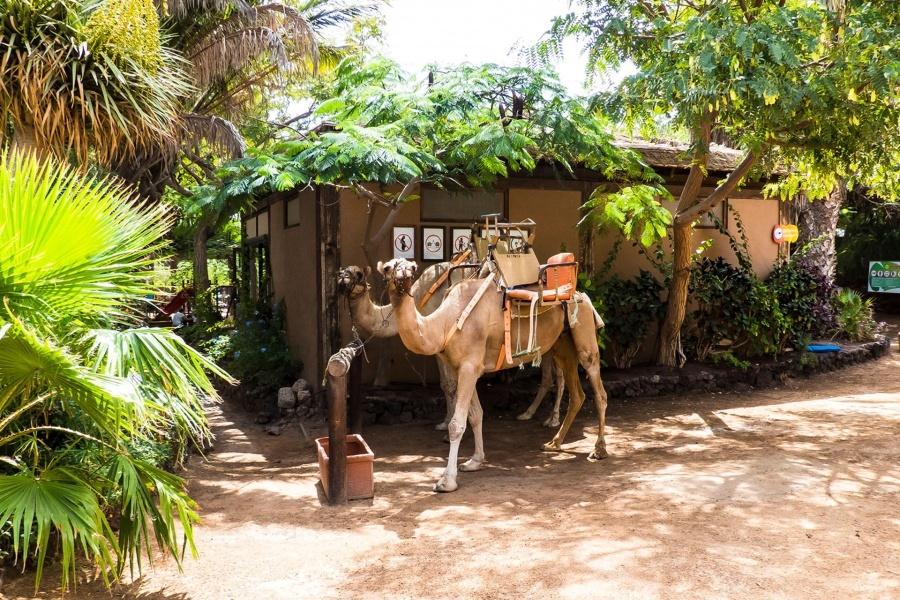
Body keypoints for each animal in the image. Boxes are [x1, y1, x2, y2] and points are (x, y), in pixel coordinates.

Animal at [334, 262, 568, 426]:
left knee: (560, 375)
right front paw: (445, 422)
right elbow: (446, 384)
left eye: (358, 274)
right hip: (547, 342)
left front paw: (449, 428)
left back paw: (554, 419)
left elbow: (449, 384)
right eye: (342, 271)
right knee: (548, 375)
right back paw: (529, 413)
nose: (341, 279)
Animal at [376, 256, 608, 492]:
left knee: (599, 391)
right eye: (388, 268)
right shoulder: (462, 368)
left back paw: (598, 449)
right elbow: (475, 415)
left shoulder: (469, 366)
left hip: (584, 335)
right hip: (562, 343)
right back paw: (554, 443)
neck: (445, 324)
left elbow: (457, 424)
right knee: (577, 394)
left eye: (412, 267)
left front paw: (447, 481)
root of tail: (582, 295)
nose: (404, 275)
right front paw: (475, 461)